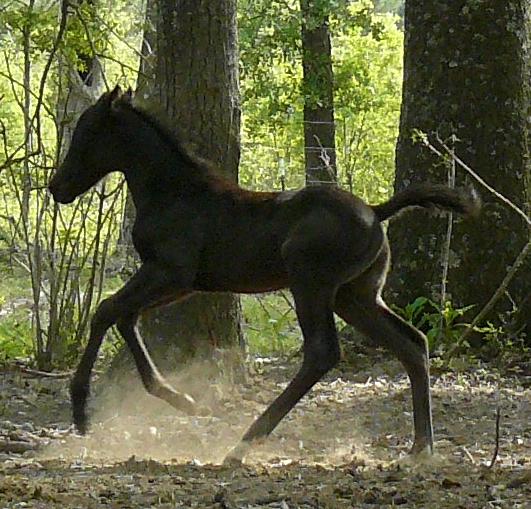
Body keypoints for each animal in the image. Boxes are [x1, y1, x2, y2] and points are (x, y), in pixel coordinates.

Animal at [51, 85, 482, 462]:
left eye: (86, 133)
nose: (58, 187)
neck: (171, 193)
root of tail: (377, 212)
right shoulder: (182, 283)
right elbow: (125, 317)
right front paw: (182, 399)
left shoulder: (171, 272)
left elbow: (106, 310)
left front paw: (81, 410)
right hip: (355, 295)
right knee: (412, 343)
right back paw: (421, 447)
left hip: (310, 282)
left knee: (322, 352)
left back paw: (243, 443)